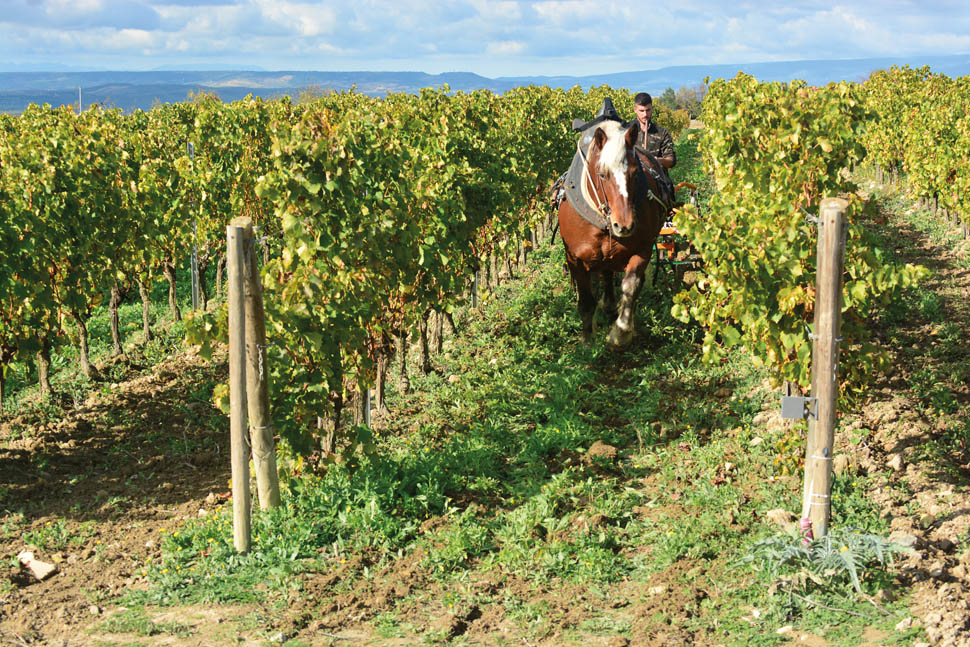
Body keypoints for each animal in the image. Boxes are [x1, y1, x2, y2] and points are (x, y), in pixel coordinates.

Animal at [557, 119, 669, 348]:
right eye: (602, 174)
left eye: (636, 173)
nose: (624, 225)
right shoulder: (575, 259)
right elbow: (585, 301)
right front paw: (587, 341)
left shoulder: (643, 248)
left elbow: (631, 286)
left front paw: (621, 332)